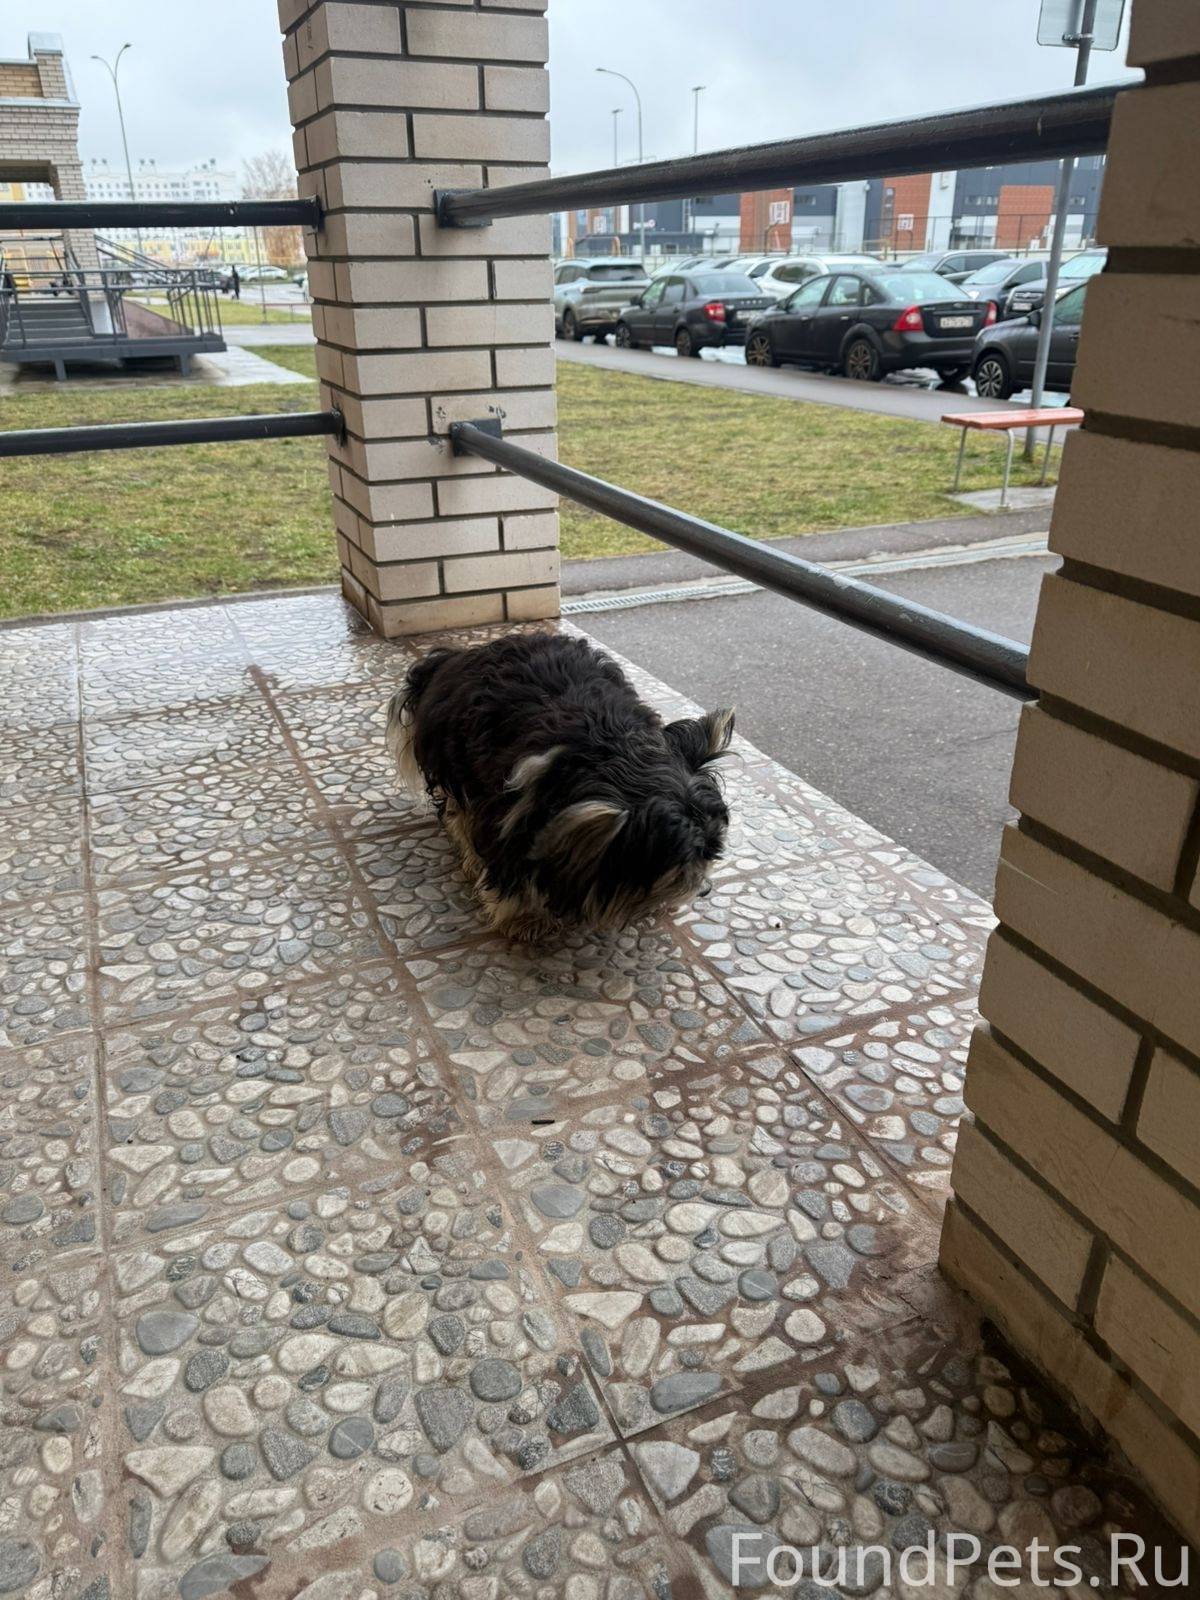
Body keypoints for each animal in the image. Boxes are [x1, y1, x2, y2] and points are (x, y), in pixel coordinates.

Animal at [386, 632, 733, 942]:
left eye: (712, 850)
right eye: (680, 864)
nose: (704, 889)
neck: (613, 755)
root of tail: (454, 657)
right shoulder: (510, 811)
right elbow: (509, 865)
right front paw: (523, 917)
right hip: (455, 757)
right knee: (458, 809)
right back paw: (471, 856)